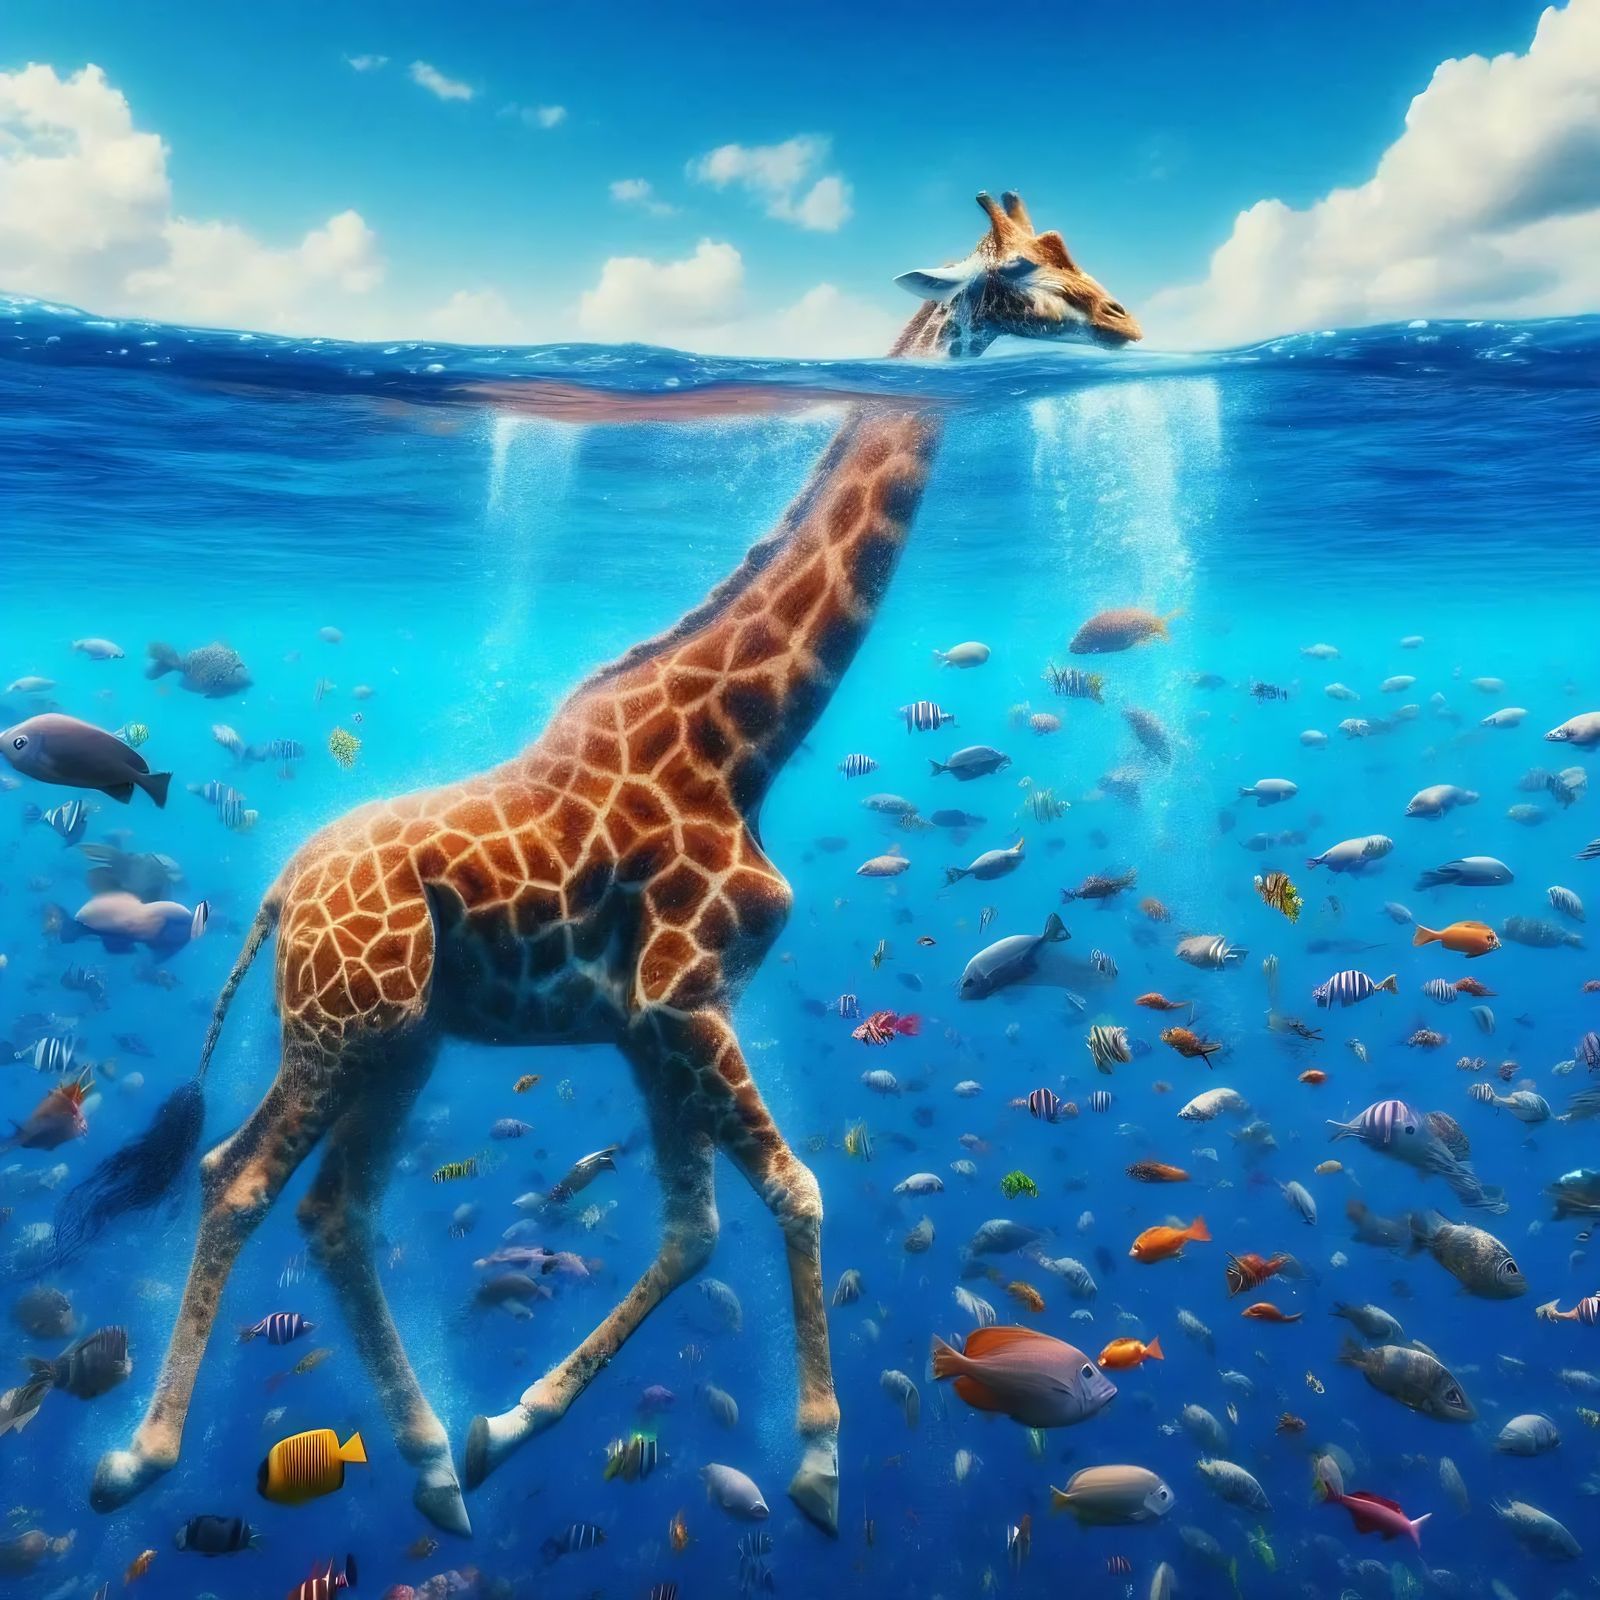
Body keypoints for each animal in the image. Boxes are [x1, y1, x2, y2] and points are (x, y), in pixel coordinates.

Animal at [86, 191, 1139, 1539]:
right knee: (237, 1175)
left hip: (402, 1041)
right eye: (1023, 271)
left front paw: (505, 1425)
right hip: (343, 1024)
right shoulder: (683, 1000)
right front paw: (818, 1465)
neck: (742, 742)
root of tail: (281, 888)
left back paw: (431, 1465)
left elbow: (693, 1229)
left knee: (334, 1209)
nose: (1121, 318)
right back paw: (140, 1455)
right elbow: (794, 1191)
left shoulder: (655, 1019)